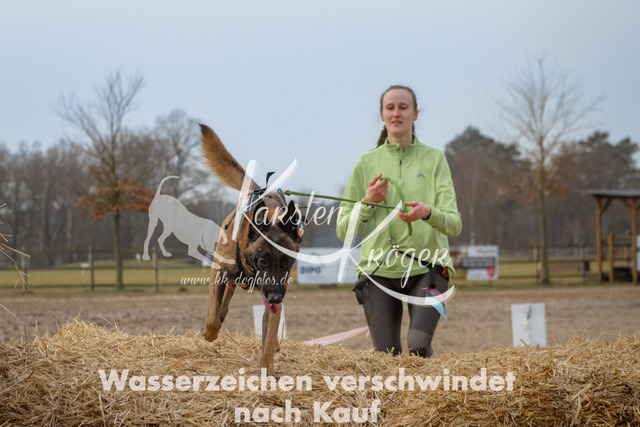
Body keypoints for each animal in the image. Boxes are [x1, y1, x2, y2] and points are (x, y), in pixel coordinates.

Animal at [200, 124, 302, 375]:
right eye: (263, 261)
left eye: (287, 262)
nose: (275, 297)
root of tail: (259, 188)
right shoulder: (217, 270)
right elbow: (211, 319)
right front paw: (209, 333)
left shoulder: (275, 298)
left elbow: (269, 339)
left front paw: (267, 369)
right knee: (224, 295)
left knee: (231, 291)